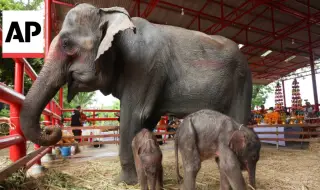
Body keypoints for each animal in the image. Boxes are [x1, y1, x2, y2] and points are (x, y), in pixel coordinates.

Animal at [19, 2, 252, 184]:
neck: (110, 14)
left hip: (242, 81)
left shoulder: (143, 67)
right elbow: (145, 122)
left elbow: (133, 116)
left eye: (66, 44)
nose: (53, 128)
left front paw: (124, 182)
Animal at [131, 109, 262, 189]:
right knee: (193, 166)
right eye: (254, 156)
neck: (239, 127)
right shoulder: (224, 140)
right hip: (188, 137)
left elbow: (222, 166)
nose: (253, 187)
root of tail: (177, 131)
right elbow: (230, 166)